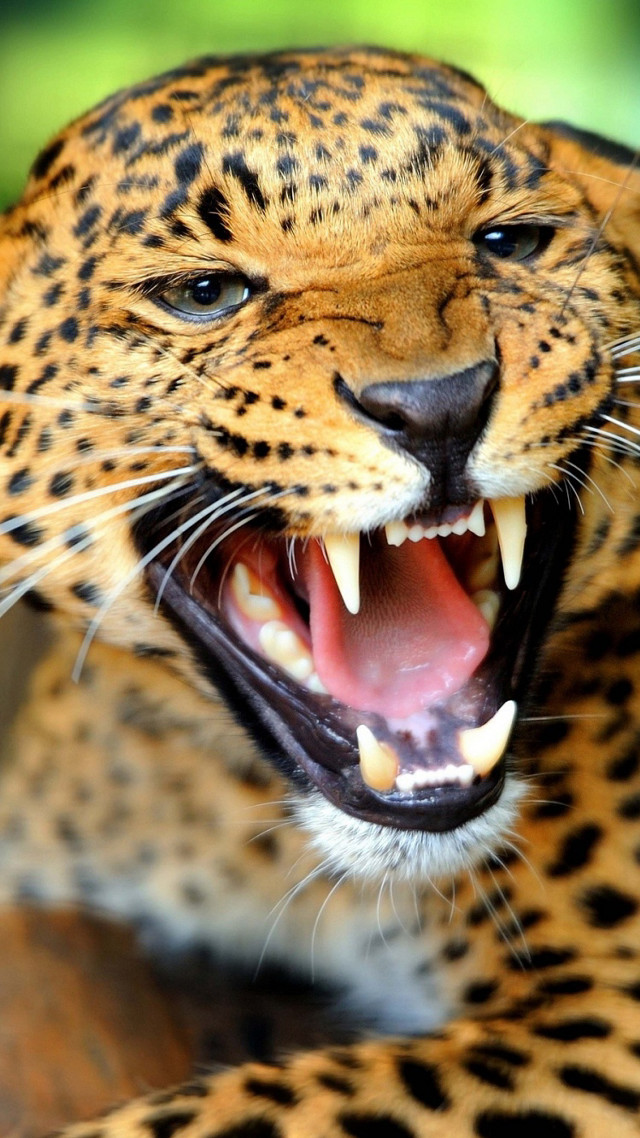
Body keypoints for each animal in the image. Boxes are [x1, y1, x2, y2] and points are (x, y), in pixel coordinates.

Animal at [0, 43, 639, 1138]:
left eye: (510, 241)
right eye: (205, 293)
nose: (437, 405)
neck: (249, 830)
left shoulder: (606, 1020)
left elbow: (237, 1106)